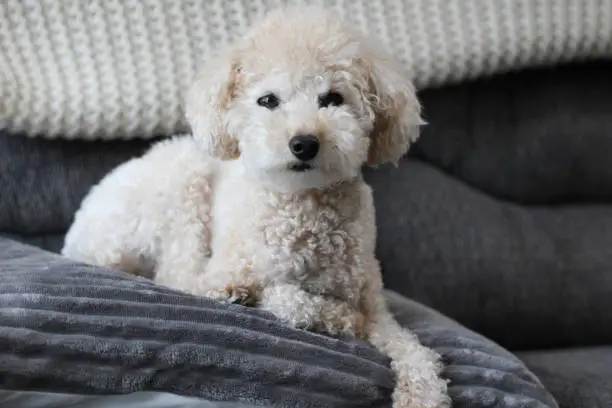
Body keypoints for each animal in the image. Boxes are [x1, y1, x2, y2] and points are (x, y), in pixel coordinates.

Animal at [63, 6, 450, 408]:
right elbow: (290, 298)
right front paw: (339, 317)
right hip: (185, 184)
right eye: (268, 100)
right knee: (178, 275)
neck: (304, 206)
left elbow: (416, 353)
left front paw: (422, 394)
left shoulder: (376, 306)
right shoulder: (244, 270)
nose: (304, 143)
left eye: (333, 98)